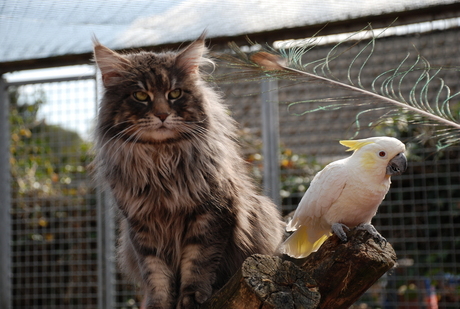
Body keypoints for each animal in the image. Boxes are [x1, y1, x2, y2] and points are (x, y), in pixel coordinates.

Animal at [92, 32, 284, 306]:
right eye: (140, 96)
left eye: (175, 93)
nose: (162, 115)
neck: (160, 159)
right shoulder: (142, 226)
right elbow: (156, 273)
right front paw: (159, 303)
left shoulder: (211, 212)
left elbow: (198, 261)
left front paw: (192, 297)